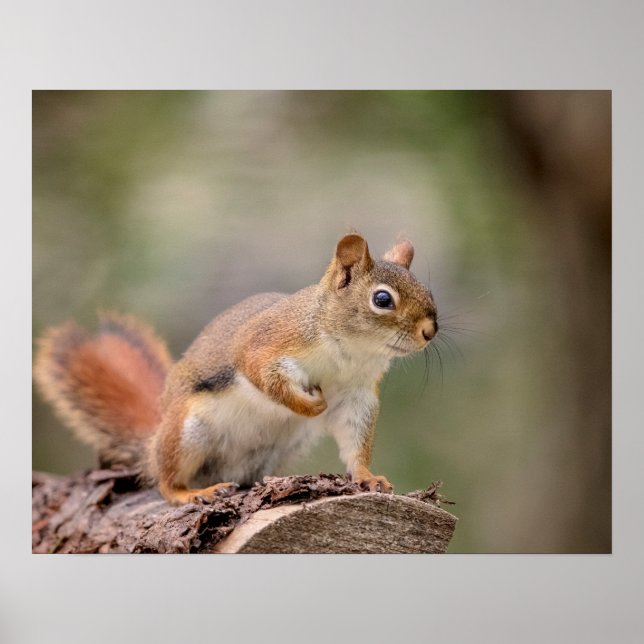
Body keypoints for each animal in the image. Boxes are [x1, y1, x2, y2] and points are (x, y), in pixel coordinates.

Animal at [34, 233, 438, 505]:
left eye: (428, 292)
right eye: (382, 299)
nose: (430, 331)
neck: (351, 352)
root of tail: (152, 439)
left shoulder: (357, 394)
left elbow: (355, 440)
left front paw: (368, 478)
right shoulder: (266, 343)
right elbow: (265, 376)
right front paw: (309, 405)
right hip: (186, 431)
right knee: (165, 479)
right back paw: (189, 493)